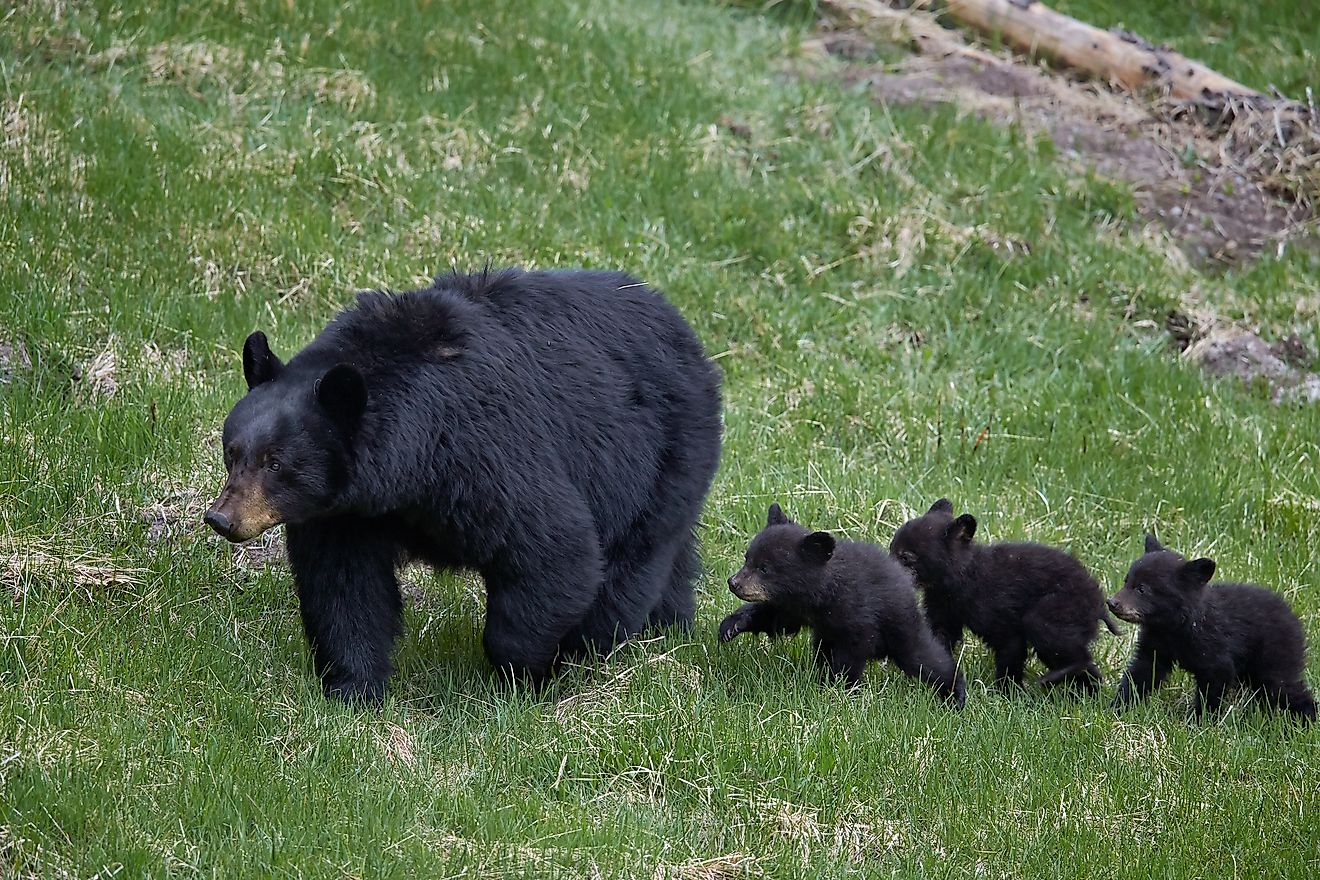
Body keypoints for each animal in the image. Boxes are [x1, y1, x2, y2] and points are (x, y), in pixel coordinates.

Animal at [203, 267, 723, 703]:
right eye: (232, 453)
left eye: (275, 463)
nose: (221, 517)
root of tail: (686, 331)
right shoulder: (345, 512)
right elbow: (343, 585)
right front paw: (352, 689)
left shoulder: (481, 449)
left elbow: (554, 547)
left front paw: (525, 675)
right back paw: (669, 626)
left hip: (658, 456)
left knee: (631, 560)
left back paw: (598, 648)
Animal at [719, 503, 966, 708]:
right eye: (747, 558)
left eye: (765, 568)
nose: (733, 583)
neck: (822, 594)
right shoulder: (794, 606)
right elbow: (776, 620)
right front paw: (731, 625)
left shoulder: (857, 616)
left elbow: (852, 652)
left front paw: (840, 688)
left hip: (900, 624)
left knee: (923, 658)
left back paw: (955, 695)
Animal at [888, 498, 1120, 692]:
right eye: (891, 548)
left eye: (906, 557)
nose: (887, 571)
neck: (957, 582)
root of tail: (1099, 603)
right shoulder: (942, 604)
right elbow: (939, 636)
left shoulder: (998, 610)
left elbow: (1009, 648)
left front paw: (1006, 692)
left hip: (1059, 609)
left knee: (1065, 645)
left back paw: (1051, 680)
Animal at [1108, 534, 1315, 722]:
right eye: (1126, 581)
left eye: (1142, 589)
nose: (1112, 602)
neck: (1173, 627)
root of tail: (1294, 618)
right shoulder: (1155, 643)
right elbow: (1141, 672)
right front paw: (1119, 706)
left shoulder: (1213, 648)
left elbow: (1214, 681)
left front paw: (1200, 720)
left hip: (1274, 658)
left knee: (1286, 687)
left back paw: (1306, 721)